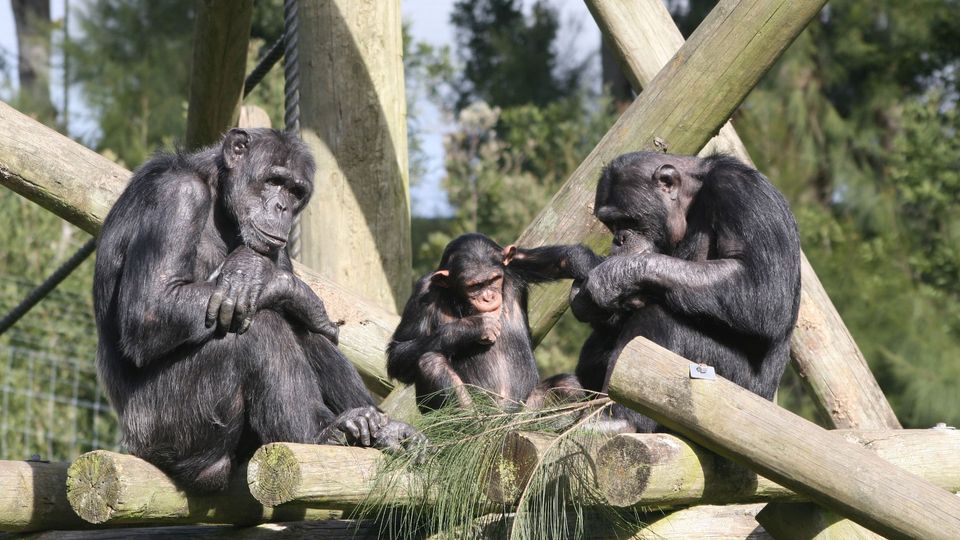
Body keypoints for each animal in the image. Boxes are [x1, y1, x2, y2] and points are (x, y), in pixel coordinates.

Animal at [94, 129, 420, 492]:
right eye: (274, 180)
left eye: (295, 191)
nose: (282, 207)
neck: (217, 195)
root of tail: (134, 445)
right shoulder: (177, 197)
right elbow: (151, 309)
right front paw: (268, 277)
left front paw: (262, 275)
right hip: (168, 427)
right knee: (259, 325)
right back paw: (320, 433)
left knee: (297, 326)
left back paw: (380, 428)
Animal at [384, 233, 596, 414]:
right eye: (474, 286)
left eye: (494, 279)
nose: (488, 297)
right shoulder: (423, 291)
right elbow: (399, 351)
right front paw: (473, 327)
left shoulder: (514, 263)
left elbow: (560, 260)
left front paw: (592, 274)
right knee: (431, 363)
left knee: (568, 385)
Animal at [564, 151, 804, 430]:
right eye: (611, 224)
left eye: (629, 220)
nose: (619, 238)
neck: (692, 200)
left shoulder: (741, 193)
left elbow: (763, 286)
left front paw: (613, 275)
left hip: (733, 388)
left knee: (657, 320)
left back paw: (619, 418)